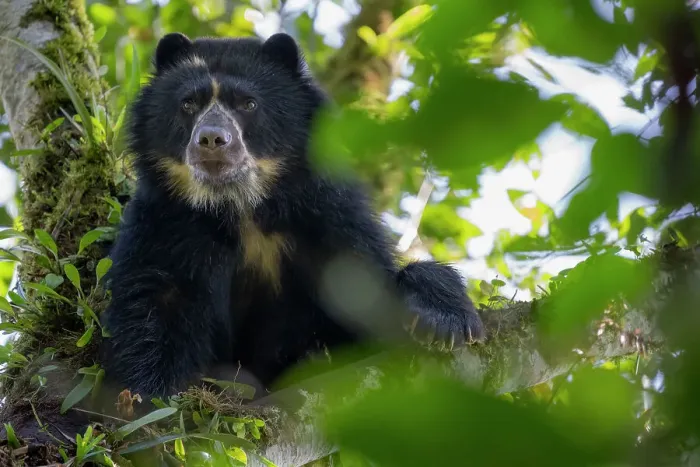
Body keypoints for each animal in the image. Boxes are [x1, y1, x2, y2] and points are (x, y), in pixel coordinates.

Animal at [99, 31, 485, 399]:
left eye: (248, 104)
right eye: (188, 104)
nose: (211, 139)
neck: (243, 206)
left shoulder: (329, 218)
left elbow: (365, 299)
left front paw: (443, 324)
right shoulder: (167, 223)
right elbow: (152, 310)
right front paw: (150, 398)